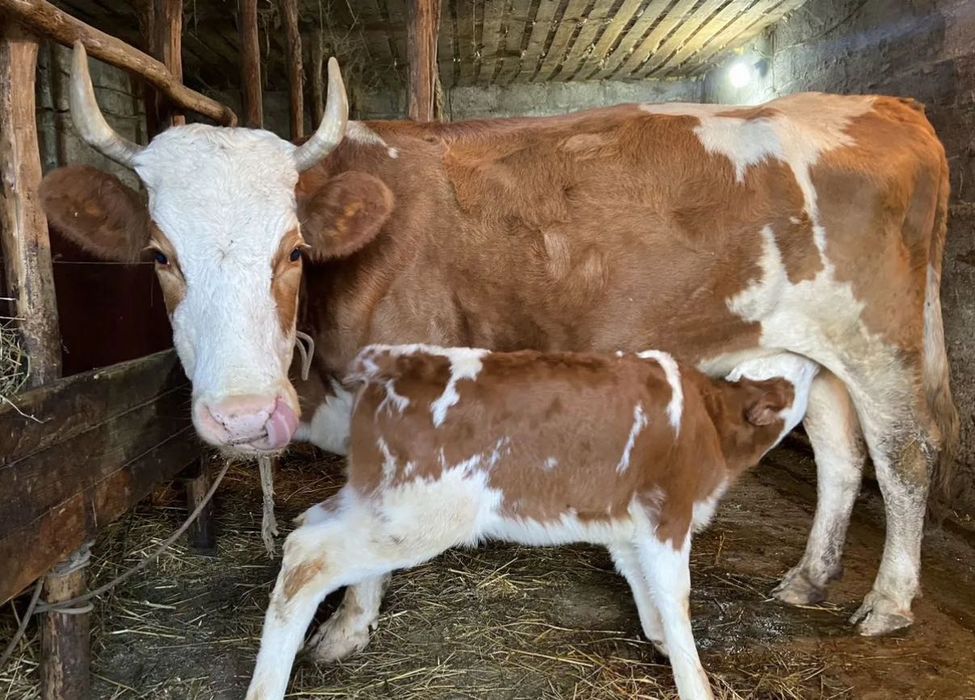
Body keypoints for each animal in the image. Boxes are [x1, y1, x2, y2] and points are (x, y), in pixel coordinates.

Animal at [40, 42, 957, 651]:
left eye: (294, 250)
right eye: (159, 255)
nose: (239, 418)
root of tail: (885, 108)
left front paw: (348, 626)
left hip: (880, 339)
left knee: (906, 452)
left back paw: (887, 601)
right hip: (814, 345)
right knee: (840, 454)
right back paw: (808, 578)